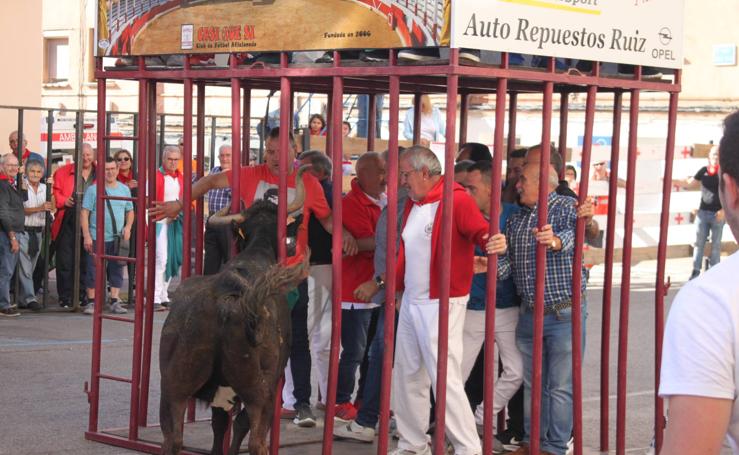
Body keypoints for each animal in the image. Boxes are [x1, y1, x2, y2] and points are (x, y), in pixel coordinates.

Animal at [160, 172, 310, 455]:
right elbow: (238, 425)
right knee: (256, 440)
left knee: (172, 439)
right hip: (260, 391)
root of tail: (225, 301)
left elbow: (220, 424)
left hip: (174, 386)